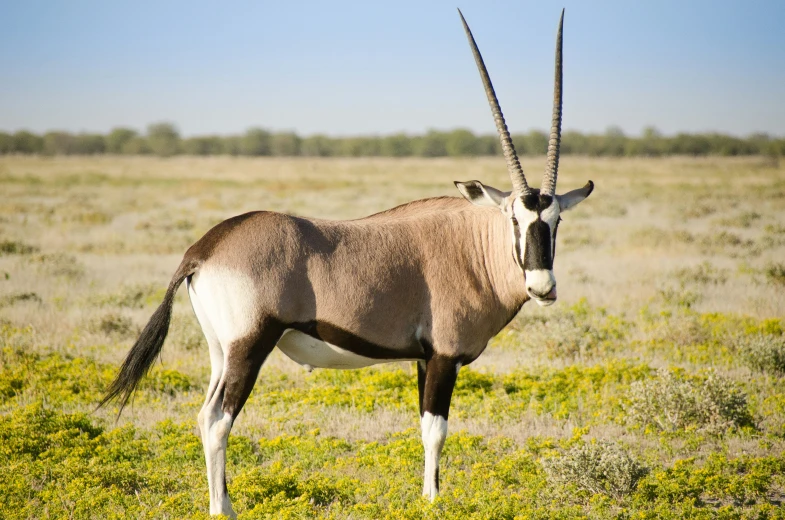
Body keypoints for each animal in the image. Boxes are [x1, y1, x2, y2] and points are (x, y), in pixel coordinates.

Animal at [101, 8, 596, 516]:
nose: (542, 287)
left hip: (221, 350)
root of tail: (205, 248)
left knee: (204, 416)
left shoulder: (423, 359)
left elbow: (424, 427)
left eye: (555, 220)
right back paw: (223, 509)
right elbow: (436, 430)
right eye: (514, 218)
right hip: (250, 345)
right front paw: (433, 501)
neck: (472, 246)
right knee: (218, 419)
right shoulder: (443, 357)